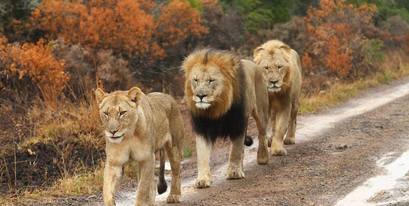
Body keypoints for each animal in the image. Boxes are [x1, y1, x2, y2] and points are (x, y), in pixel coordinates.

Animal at [183, 48, 270, 188]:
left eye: (211, 80)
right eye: (195, 80)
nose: (200, 96)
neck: (215, 109)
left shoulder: (238, 124)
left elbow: (235, 150)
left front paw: (234, 173)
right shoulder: (201, 128)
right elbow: (202, 155)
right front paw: (202, 179)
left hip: (261, 112)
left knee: (262, 135)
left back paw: (262, 158)